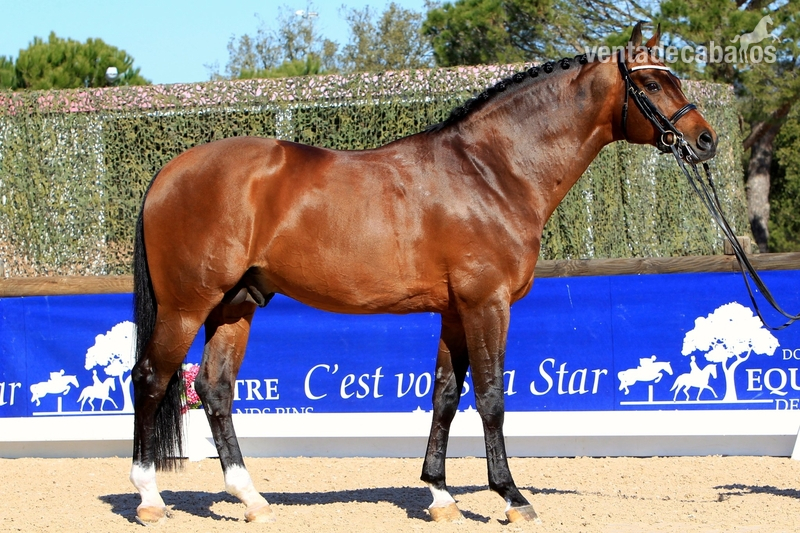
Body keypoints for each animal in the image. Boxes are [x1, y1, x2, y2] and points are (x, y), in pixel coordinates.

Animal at [129, 23, 718, 524]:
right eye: (650, 82)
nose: (706, 140)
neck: (491, 172)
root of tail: (168, 173)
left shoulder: (455, 310)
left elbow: (445, 397)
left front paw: (439, 495)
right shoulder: (486, 304)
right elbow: (491, 398)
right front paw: (511, 497)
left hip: (235, 305)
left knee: (214, 389)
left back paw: (251, 499)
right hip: (187, 304)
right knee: (150, 379)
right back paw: (150, 498)